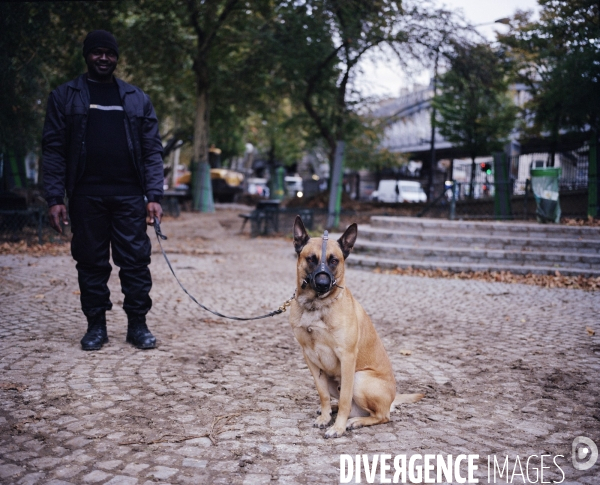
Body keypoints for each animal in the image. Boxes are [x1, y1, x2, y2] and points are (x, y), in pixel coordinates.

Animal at [290, 217, 422, 436]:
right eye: (311, 259)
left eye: (334, 260)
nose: (323, 283)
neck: (317, 306)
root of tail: (392, 400)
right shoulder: (310, 358)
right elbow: (322, 394)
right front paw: (325, 416)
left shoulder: (347, 357)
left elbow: (345, 399)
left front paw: (338, 427)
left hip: (360, 379)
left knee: (381, 416)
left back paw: (356, 421)